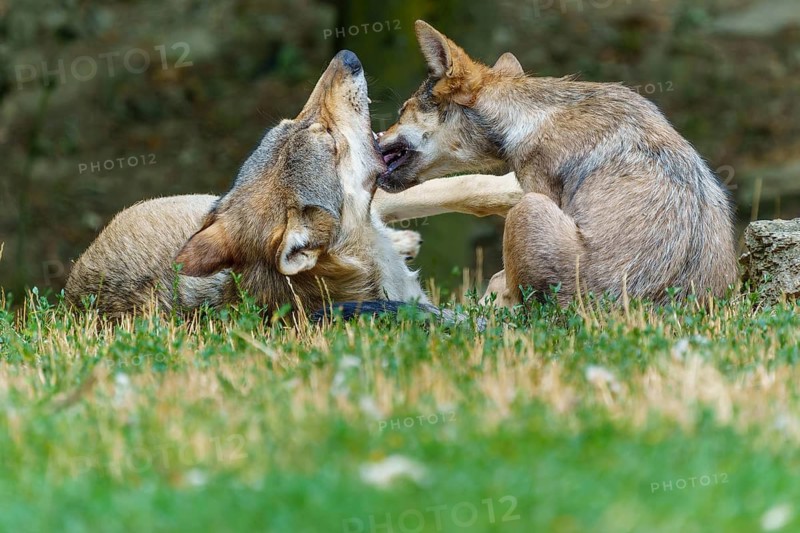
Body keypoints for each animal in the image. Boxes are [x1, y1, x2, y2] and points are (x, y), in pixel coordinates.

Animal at [376, 20, 738, 307]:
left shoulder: (538, 189)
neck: (526, 116)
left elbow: (499, 282)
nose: (375, 137)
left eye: (400, 111)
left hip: (527, 209)